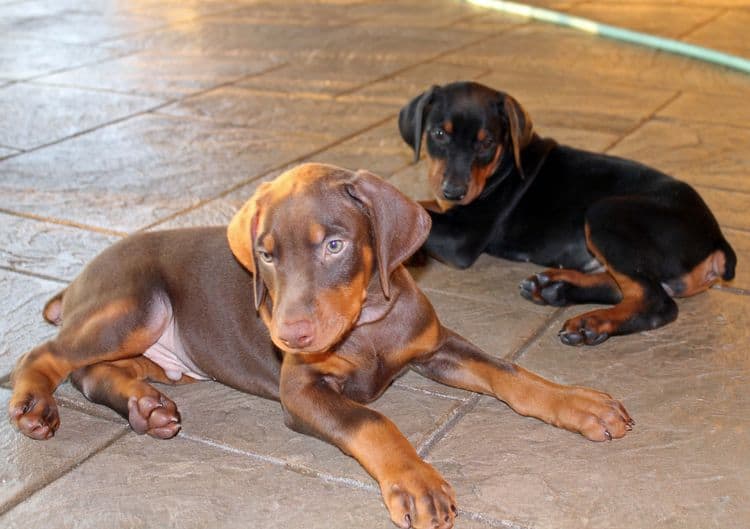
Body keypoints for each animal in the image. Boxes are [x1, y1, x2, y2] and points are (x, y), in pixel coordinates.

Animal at [11, 163, 636, 524]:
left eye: (334, 245)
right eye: (265, 254)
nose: (288, 334)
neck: (368, 324)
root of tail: (78, 281)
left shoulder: (436, 345)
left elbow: (507, 371)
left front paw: (579, 403)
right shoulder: (303, 389)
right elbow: (372, 421)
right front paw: (415, 480)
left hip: (156, 346)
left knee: (95, 372)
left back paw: (147, 406)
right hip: (135, 306)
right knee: (45, 355)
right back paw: (35, 406)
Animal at [402, 80, 736, 346]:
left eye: (486, 143)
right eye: (438, 133)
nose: (453, 191)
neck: (507, 163)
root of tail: (716, 239)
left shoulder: (461, 238)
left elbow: (422, 213)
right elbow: (420, 206)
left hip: (605, 213)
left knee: (656, 301)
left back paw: (590, 322)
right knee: (631, 286)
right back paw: (554, 288)